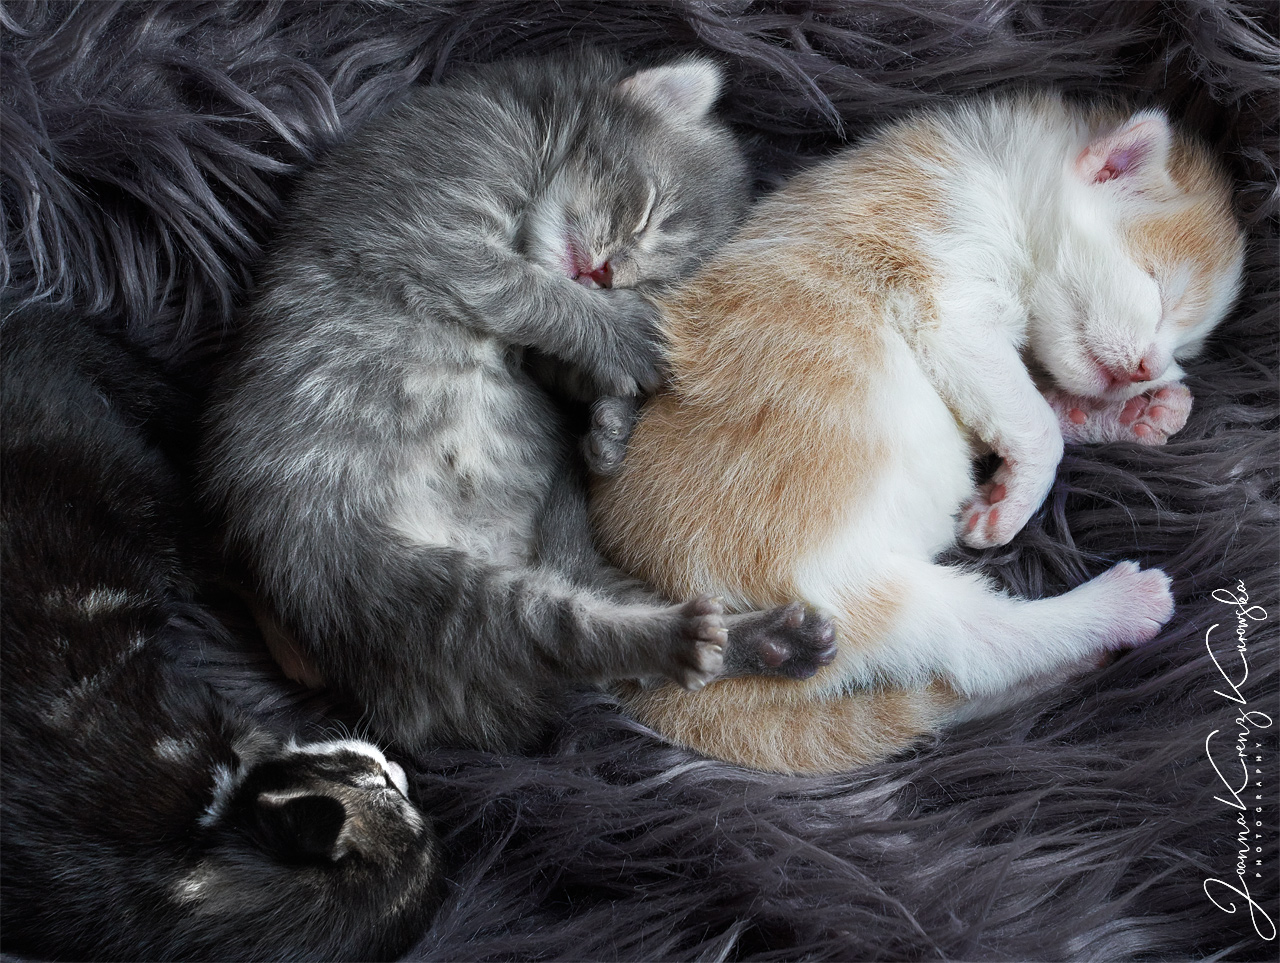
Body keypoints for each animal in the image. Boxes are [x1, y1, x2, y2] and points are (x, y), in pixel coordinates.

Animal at [199, 51, 836, 756]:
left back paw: (769, 642)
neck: (531, 131)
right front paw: (627, 335)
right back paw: (684, 641)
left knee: (587, 624)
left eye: (657, 276)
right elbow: (533, 293)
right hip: (387, 579)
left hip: (543, 561)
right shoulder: (438, 221)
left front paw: (611, 422)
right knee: (562, 639)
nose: (607, 277)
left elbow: (558, 353)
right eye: (648, 213)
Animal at [589, 91, 1246, 774]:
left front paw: (1121, 415)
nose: (1146, 370)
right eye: (1159, 288)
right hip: (830, 588)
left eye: (1181, 352)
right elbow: (1034, 422)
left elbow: (1034, 407)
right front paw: (1022, 493)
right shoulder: (945, 286)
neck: (1003, 182)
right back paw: (1117, 608)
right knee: (977, 648)